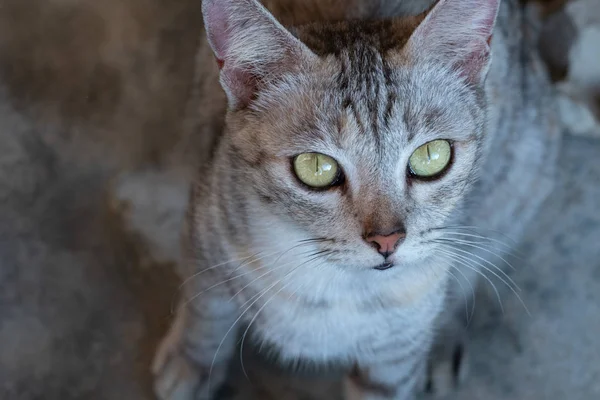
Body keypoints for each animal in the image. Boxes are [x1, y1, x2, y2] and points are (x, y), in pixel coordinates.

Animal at [152, 0, 560, 400]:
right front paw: (190, 363)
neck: (332, 286)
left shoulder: (392, 361)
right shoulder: (206, 241)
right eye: (316, 167)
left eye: (432, 156)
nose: (388, 240)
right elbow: (204, 314)